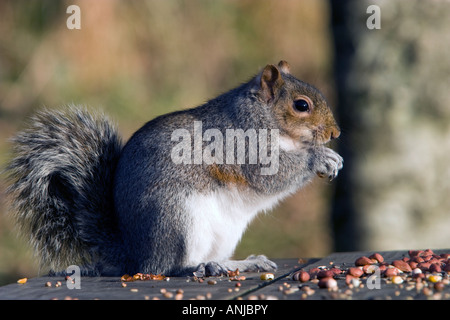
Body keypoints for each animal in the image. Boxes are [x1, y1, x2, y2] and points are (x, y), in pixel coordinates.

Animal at [3, 60, 342, 278]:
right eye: (301, 105)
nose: (335, 133)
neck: (261, 116)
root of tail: (134, 255)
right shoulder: (244, 146)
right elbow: (270, 175)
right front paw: (320, 157)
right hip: (175, 217)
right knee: (166, 268)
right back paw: (199, 267)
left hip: (222, 232)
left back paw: (239, 264)